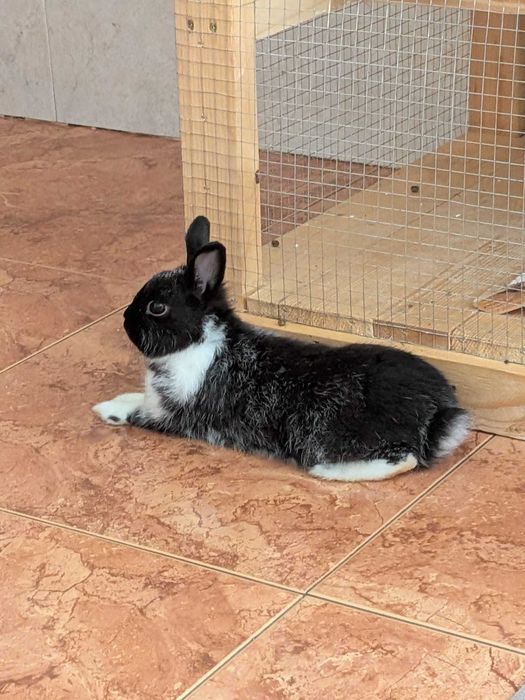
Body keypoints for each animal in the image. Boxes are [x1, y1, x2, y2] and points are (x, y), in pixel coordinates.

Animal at [93, 215, 470, 482]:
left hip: (325, 433)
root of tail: (440, 414)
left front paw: (106, 409)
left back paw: (325, 471)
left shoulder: (174, 414)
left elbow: (137, 413)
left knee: (404, 458)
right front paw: (111, 400)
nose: (125, 321)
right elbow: (136, 397)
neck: (201, 340)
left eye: (157, 308)